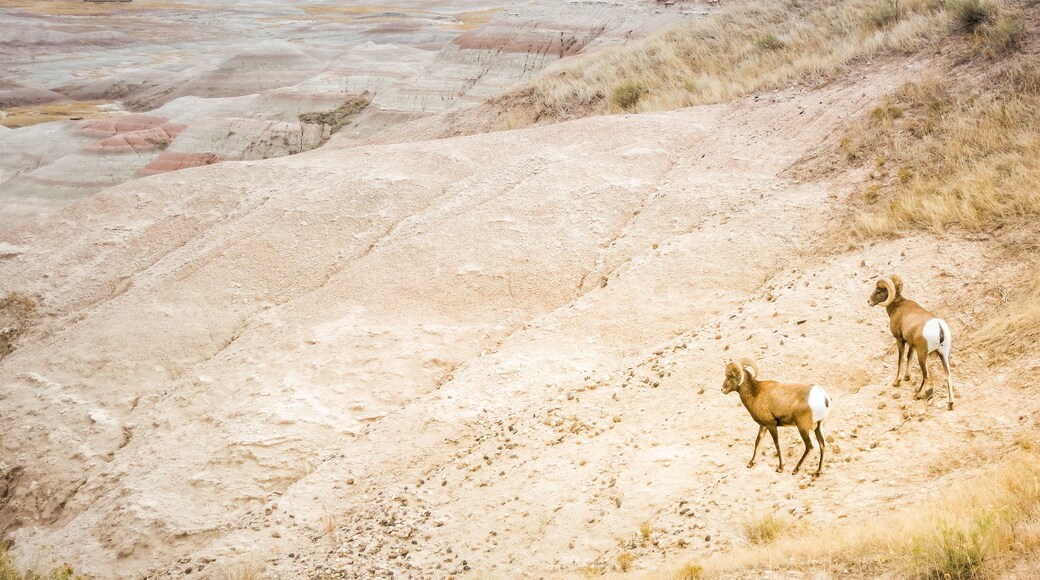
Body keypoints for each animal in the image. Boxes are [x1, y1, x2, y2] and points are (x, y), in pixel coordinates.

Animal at [868, 275, 954, 410]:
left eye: (878, 291)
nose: (869, 301)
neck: (898, 307)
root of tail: (939, 327)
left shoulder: (900, 340)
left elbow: (901, 360)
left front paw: (897, 382)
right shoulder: (912, 346)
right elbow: (909, 357)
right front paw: (906, 377)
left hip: (922, 355)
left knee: (926, 375)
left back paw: (917, 395)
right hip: (944, 355)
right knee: (948, 375)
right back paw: (950, 404)